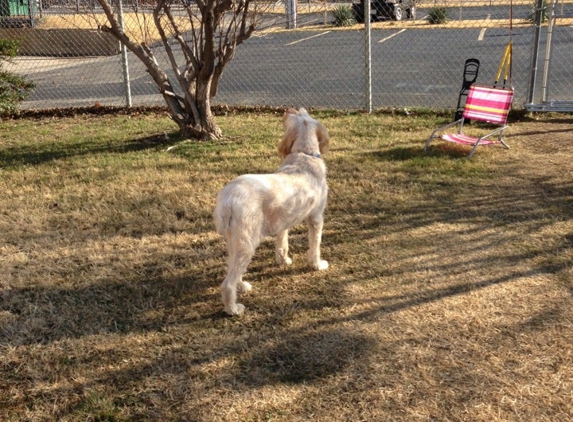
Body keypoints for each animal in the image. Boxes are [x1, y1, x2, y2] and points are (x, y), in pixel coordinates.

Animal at [213, 107, 330, 314]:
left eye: (301, 111)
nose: (287, 109)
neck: (304, 154)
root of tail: (228, 197)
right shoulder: (316, 218)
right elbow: (315, 245)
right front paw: (317, 264)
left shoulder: (284, 220)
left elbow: (282, 242)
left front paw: (283, 260)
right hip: (247, 242)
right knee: (227, 282)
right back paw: (233, 309)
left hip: (235, 239)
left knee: (232, 267)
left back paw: (242, 286)